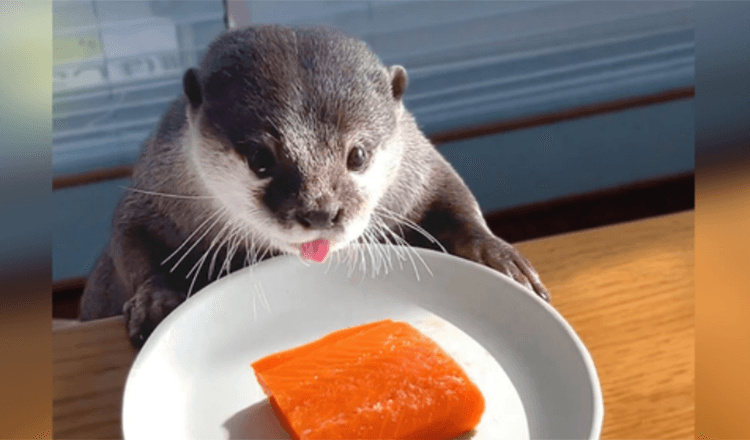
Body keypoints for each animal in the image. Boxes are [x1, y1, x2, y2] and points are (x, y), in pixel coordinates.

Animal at [81, 24, 552, 348]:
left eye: (358, 155)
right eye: (260, 159)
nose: (320, 211)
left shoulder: (417, 164)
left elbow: (453, 195)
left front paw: (498, 257)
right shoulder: (155, 182)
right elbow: (130, 238)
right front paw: (156, 299)